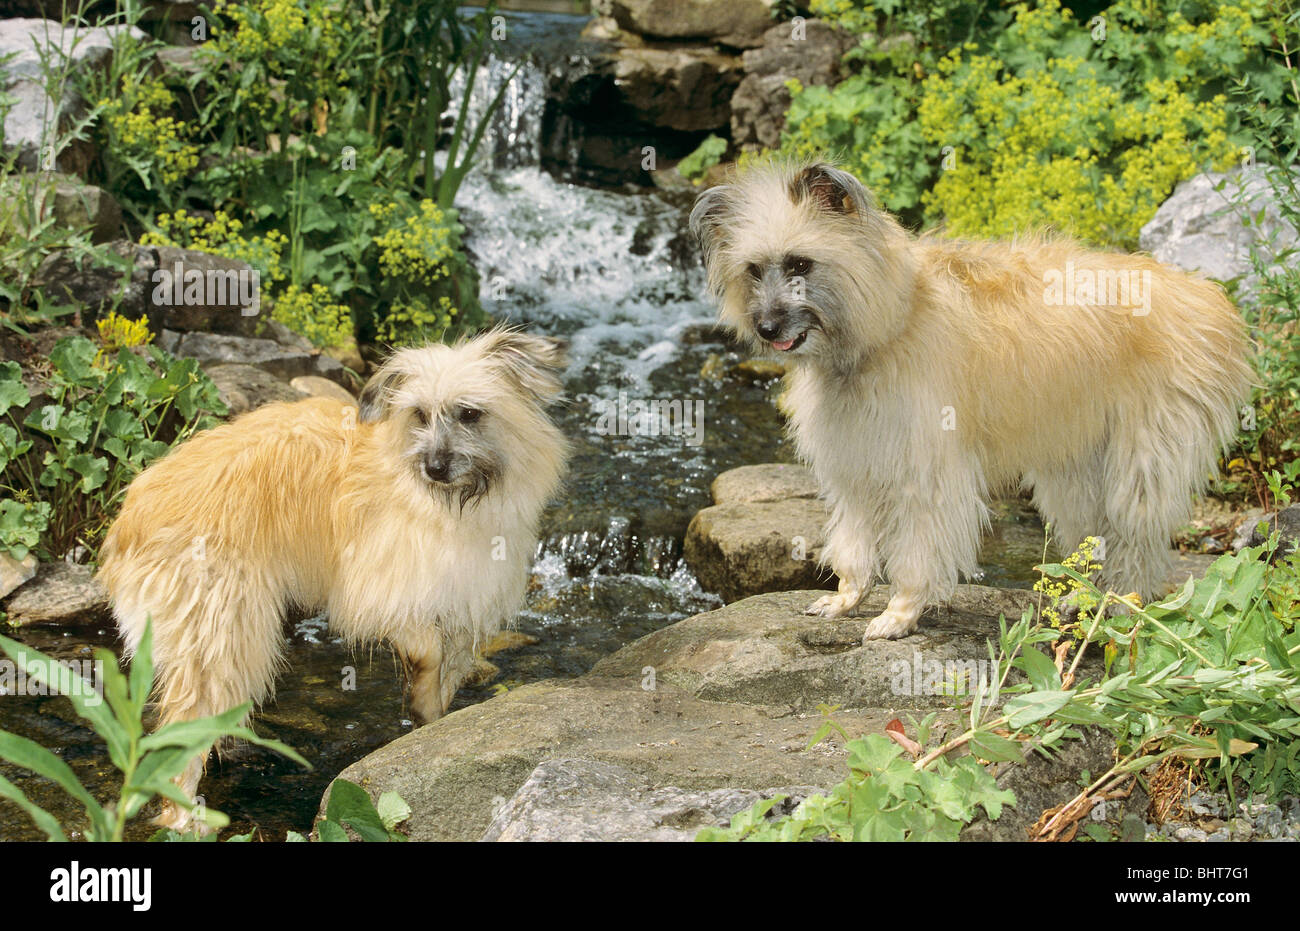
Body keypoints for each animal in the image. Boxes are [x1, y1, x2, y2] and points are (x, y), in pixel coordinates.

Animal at [98, 327, 566, 826]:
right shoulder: (379, 588)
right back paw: (185, 817)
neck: (448, 499)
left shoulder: (463, 596)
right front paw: (422, 704)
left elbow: (451, 665)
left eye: (471, 413)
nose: (435, 468)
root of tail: (128, 519)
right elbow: (427, 651)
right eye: (420, 414)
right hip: (219, 634)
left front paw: (431, 719)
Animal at [696, 157, 1253, 639]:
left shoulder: (927, 469)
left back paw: (1118, 605)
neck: (888, 326)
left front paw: (900, 614)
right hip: (1076, 464)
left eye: (801, 263)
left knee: (1136, 537)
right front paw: (848, 598)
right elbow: (853, 541)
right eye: (753, 269)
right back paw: (1083, 599)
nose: (766, 328)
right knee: (1094, 535)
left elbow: (917, 550)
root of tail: (1206, 296)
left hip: (1142, 460)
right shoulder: (856, 461)